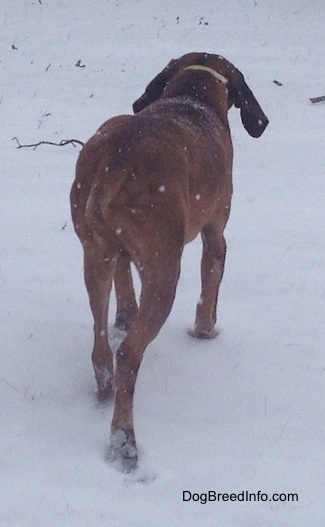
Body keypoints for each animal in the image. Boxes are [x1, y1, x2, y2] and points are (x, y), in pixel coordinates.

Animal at [69, 52, 268, 474]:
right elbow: (210, 285)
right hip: (165, 274)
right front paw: (205, 331)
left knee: (100, 344)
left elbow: (124, 287)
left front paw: (125, 315)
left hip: (94, 256)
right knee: (129, 355)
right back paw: (124, 442)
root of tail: (116, 157)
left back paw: (104, 386)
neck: (192, 98)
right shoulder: (215, 233)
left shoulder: (120, 252)